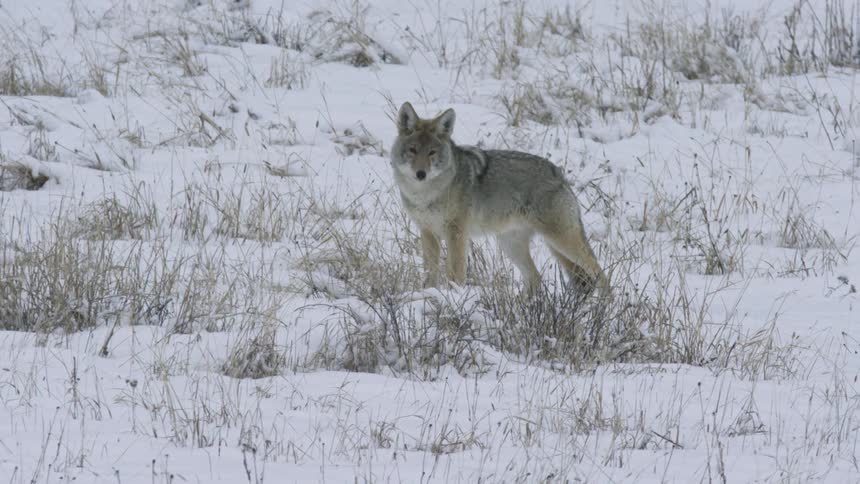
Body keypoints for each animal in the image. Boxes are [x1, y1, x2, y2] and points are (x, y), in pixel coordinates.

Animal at [390, 102, 606, 295]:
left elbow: (456, 272)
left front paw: (454, 297)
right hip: (512, 245)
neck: (425, 195)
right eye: (413, 150)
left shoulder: (456, 232)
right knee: (536, 278)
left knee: (600, 272)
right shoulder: (428, 232)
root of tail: (559, 173)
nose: (420, 174)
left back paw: (606, 306)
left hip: (561, 241)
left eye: (432, 152)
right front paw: (427, 294)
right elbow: (430, 273)